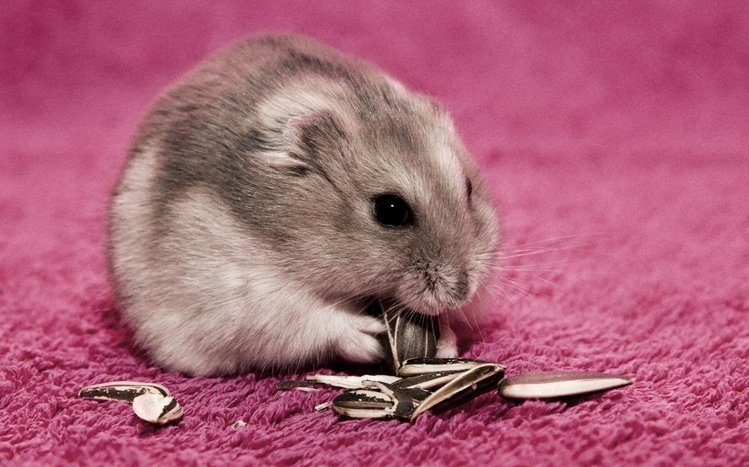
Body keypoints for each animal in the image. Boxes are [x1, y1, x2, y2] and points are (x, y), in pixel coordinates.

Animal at [108, 34, 499, 376]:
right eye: (390, 210)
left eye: (468, 189)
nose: (461, 292)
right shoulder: (250, 297)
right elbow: (316, 319)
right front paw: (369, 337)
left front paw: (446, 342)